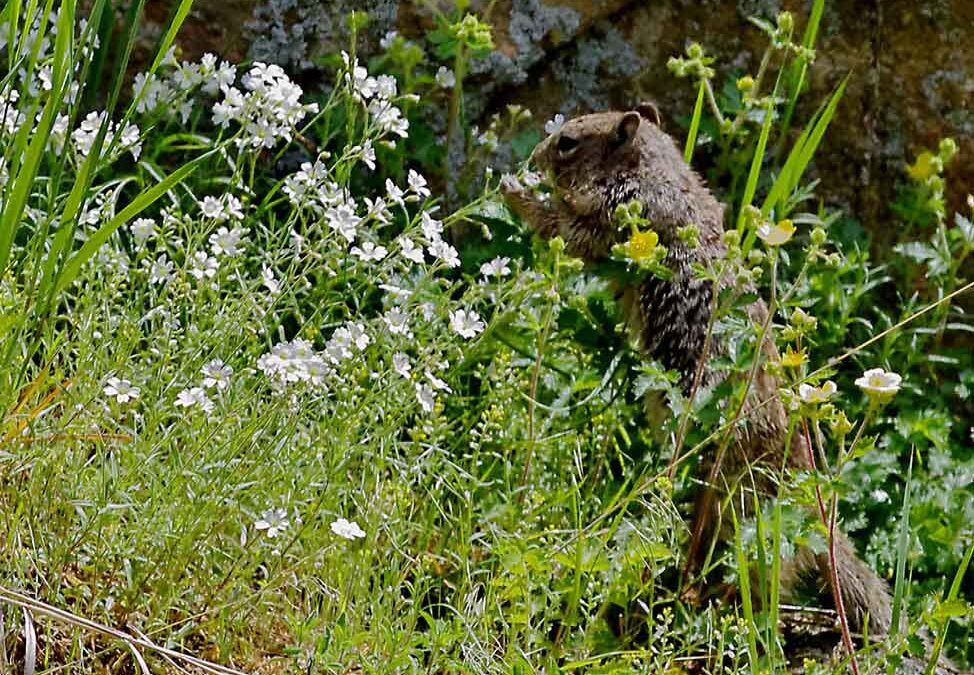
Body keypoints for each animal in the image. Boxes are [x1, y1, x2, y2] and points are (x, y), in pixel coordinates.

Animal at [508, 107, 896, 640]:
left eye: (566, 142)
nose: (532, 158)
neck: (653, 171)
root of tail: (810, 509)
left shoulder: (614, 219)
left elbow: (565, 228)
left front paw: (514, 191)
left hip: (741, 503)